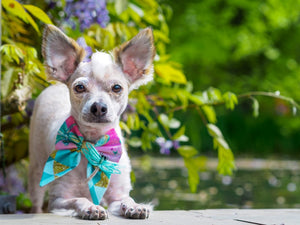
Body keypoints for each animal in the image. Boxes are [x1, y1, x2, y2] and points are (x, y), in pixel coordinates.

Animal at [28, 25, 156, 220]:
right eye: (79, 87)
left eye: (117, 88)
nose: (98, 107)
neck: (94, 145)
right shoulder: (58, 200)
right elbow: (78, 199)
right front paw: (91, 208)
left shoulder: (117, 196)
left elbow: (127, 200)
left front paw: (136, 206)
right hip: (36, 171)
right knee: (36, 201)